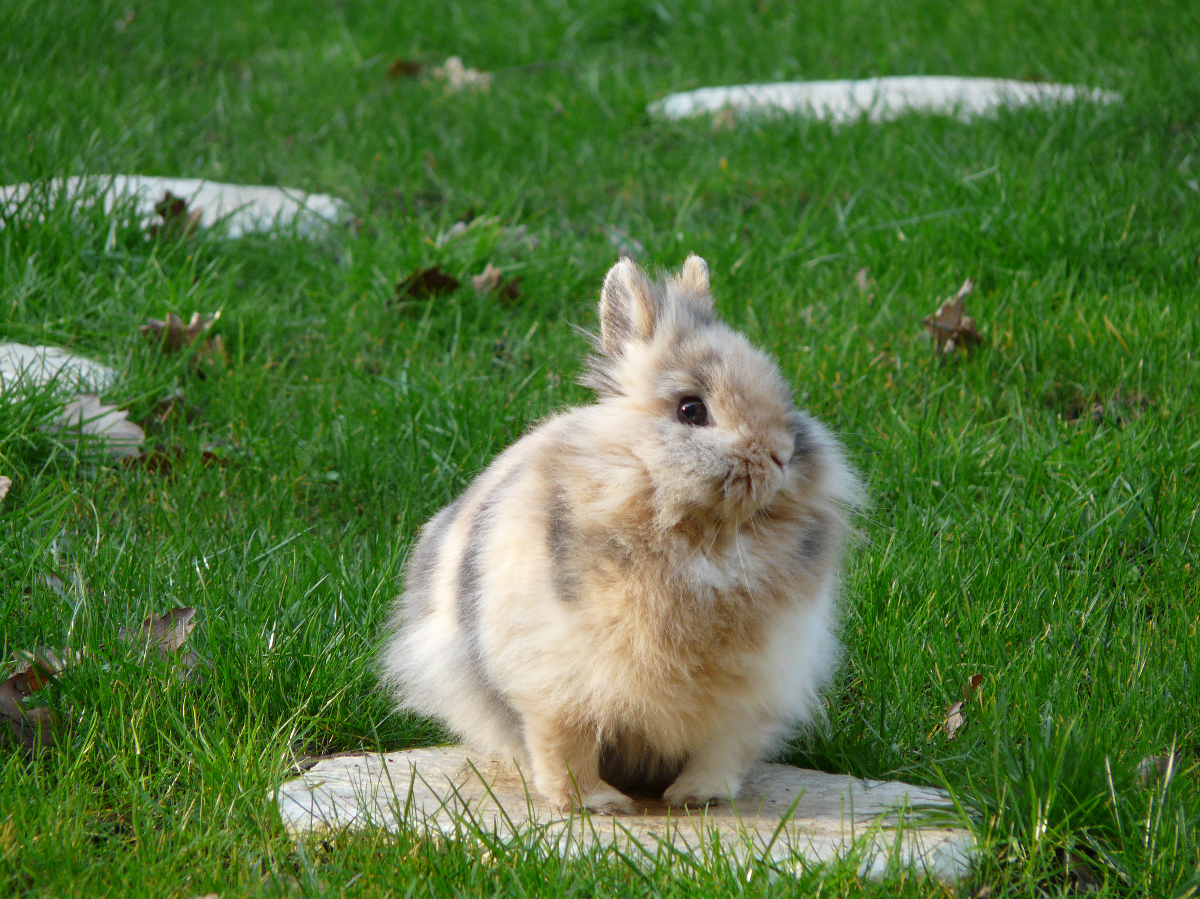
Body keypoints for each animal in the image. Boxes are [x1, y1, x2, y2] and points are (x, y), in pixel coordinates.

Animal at [379, 252, 859, 811]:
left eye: (784, 397)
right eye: (691, 409)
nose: (780, 456)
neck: (704, 538)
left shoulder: (753, 690)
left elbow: (723, 751)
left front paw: (697, 798)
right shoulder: (554, 684)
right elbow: (564, 746)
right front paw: (594, 805)